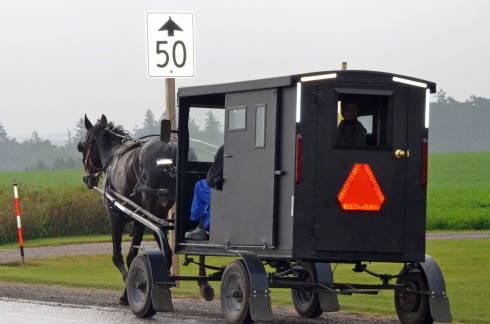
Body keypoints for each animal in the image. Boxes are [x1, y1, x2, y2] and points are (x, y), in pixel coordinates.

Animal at [79, 115, 179, 306]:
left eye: (85, 145)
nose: (87, 177)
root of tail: (170, 148)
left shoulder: (116, 217)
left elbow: (117, 256)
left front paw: (129, 288)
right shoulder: (138, 220)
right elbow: (132, 254)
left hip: (152, 212)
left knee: (166, 252)